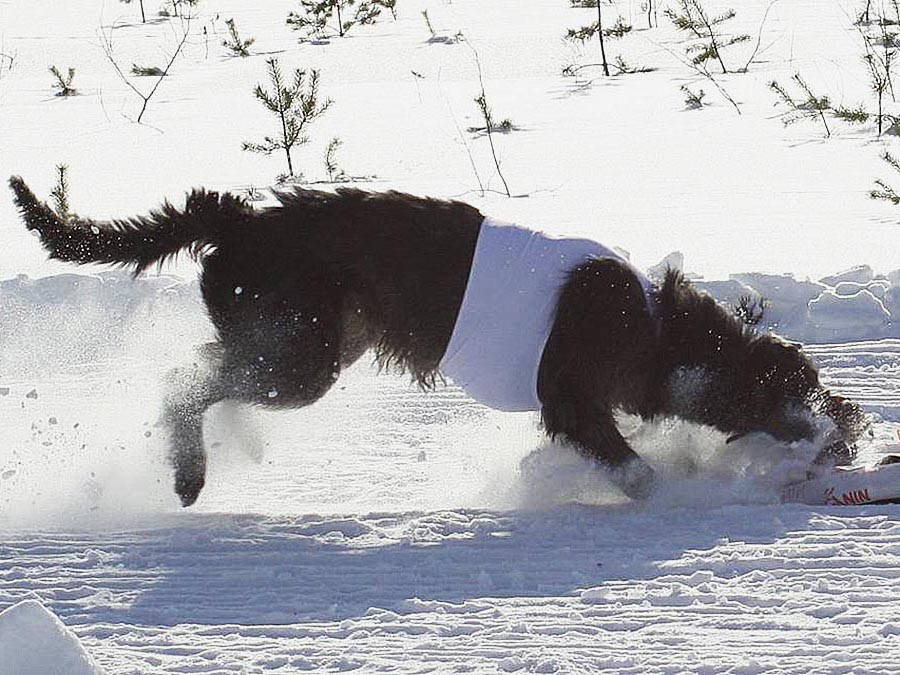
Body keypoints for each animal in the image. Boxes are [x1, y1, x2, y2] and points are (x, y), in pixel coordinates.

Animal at [7, 176, 864, 508]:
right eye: (795, 389)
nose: (850, 421)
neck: (654, 327)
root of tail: (238, 222)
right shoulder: (570, 398)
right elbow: (635, 468)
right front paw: (679, 489)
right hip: (301, 354)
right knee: (181, 384)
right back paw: (190, 473)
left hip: (309, 345)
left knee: (204, 375)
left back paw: (238, 443)